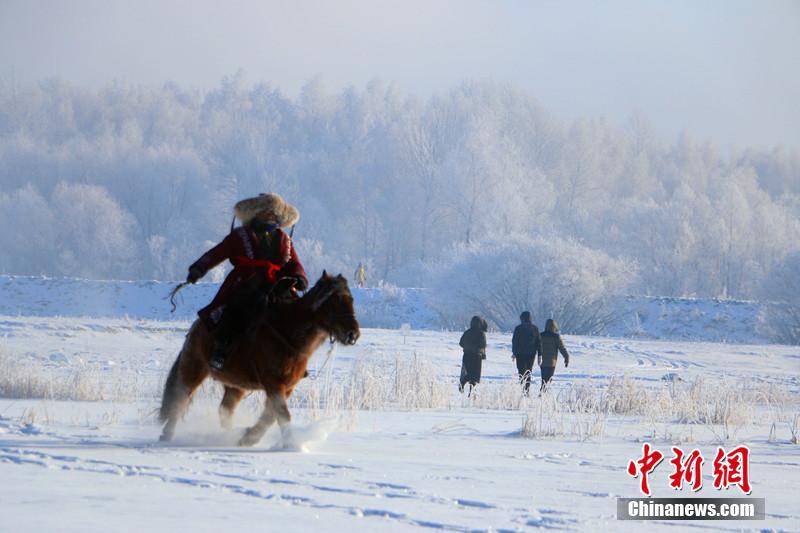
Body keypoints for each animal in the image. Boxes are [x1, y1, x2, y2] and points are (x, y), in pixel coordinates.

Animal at [159, 270, 360, 444]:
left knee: (224, 410)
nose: (353, 334)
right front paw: (292, 445)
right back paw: (167, 435)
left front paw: (249, 437)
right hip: (194, 369)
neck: (288, 333)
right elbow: (282, 414)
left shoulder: (287, 387)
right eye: (334, 301)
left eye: (351, 300)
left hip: (236, 386)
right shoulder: (274, 384)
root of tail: (196, 327)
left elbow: (271, 415)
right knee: (180, 399)